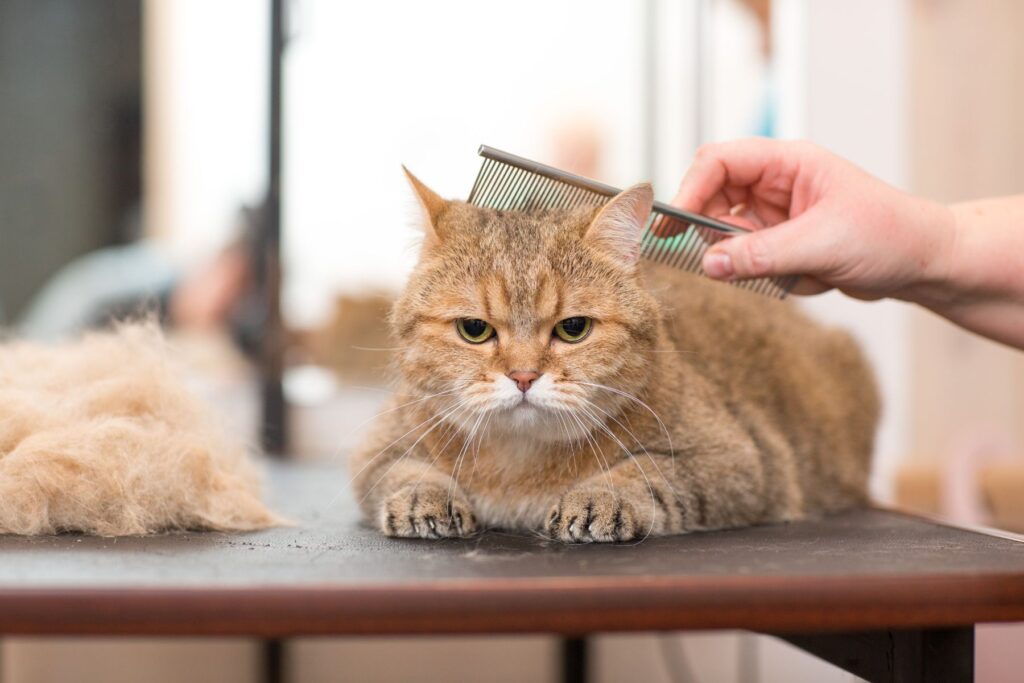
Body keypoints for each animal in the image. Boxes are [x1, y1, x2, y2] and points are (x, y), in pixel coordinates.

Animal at [348, 172, 876, 544]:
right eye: (474, 330)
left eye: (573, 328)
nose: (524, 376)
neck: (519, 465)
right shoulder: (376, 449)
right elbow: (403, 470)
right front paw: (424, 495)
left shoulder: (742, 460)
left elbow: (648, 471)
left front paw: (602, 494)